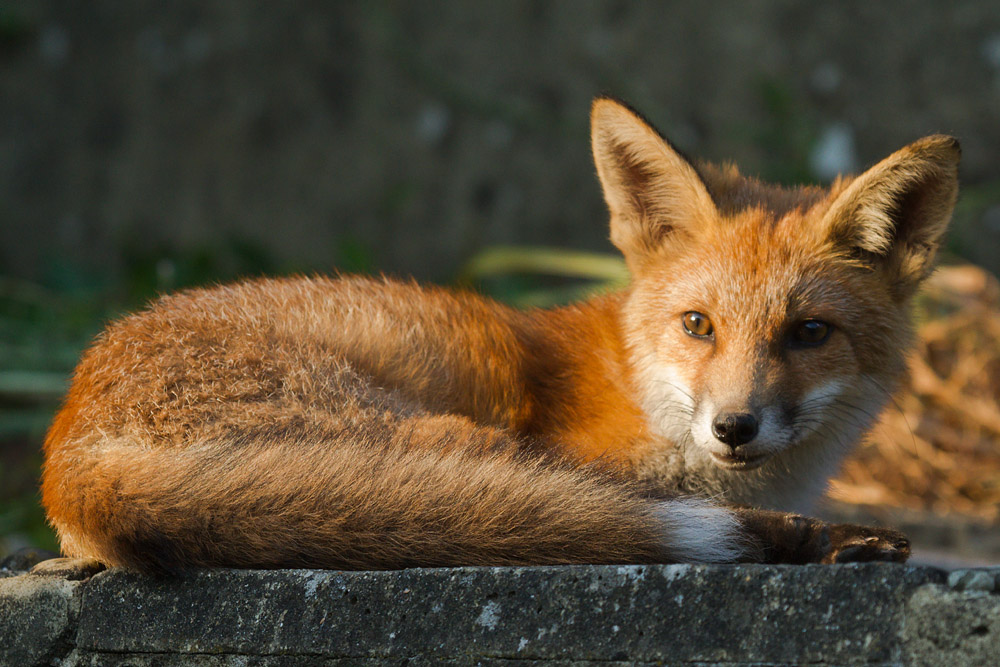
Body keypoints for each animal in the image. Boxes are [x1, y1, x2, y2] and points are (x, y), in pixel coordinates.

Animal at [38, 97, 959, 575]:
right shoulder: (584, 452)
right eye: (698, 325)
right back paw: (814, 540)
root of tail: (70, 439)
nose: (735, 426)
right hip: (442, 439)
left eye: (809, 332)